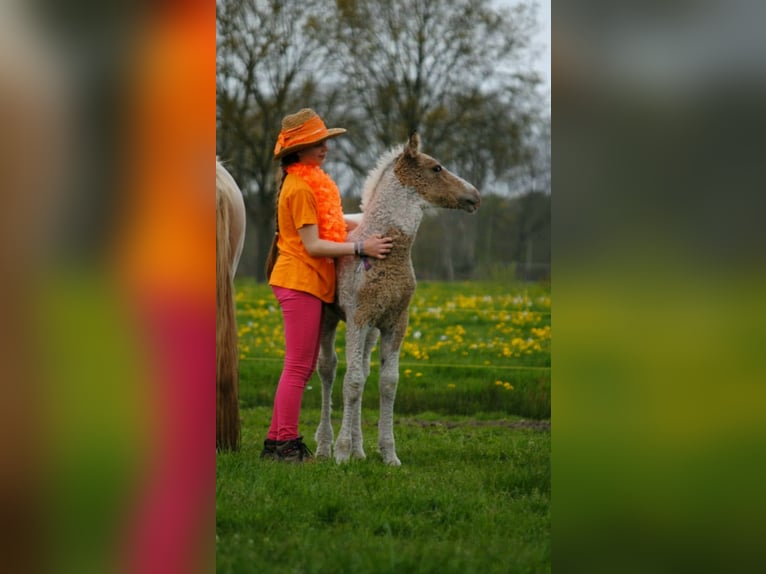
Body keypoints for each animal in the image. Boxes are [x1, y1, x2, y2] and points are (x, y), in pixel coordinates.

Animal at [314, 132, 481, 465]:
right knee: (328, 369)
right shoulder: (358, 318)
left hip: (371, 332)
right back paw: (325, 446)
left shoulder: (394, 322)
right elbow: (352, 381)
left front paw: (388, 454)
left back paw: (360, 450)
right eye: (436, 168)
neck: (387, 252)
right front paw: (341, 453)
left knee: (364, 370)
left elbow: (387, 382)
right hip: (331, 318)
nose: (475, 196)